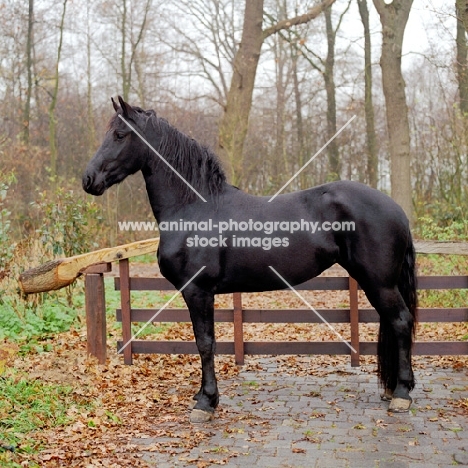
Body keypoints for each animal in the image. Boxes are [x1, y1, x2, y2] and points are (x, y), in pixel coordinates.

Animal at [83, 97, 416, 422]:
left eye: (120, 134)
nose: (88, 179)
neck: (193, 208)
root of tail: (396, 209)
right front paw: (203, 396)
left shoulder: (198, 292)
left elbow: (205, 343)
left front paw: (206, 402)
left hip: (379, 283)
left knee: (400, 321)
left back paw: (401, 394)